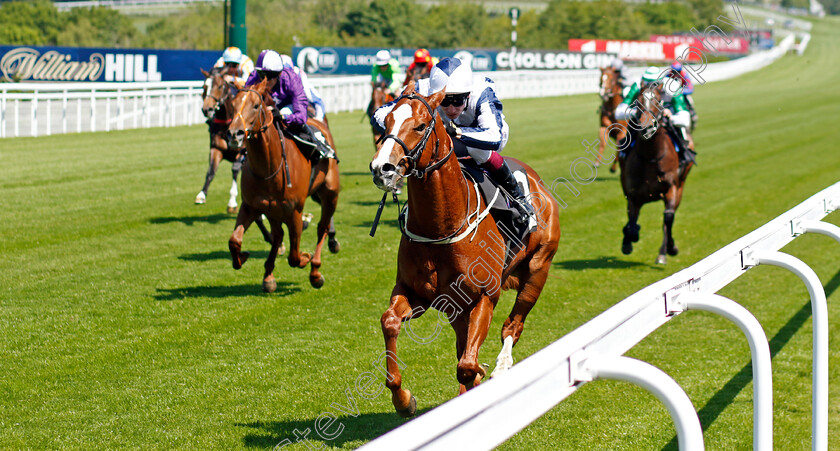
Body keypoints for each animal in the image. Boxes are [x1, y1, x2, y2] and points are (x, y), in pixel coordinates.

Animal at [226, 78, 342, 292]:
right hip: (273, 210)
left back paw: (315, 271)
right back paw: (268, 276)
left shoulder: (294, 211)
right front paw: (242, 258)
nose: (234, 135)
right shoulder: (251, 206)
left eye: (256, 105)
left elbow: (294, 256)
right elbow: (234, 240)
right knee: (278, 235)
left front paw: (306, 258)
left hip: (330, 194)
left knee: (321, 228)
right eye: (233, 104)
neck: (269, 168)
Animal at [370, 80, 560, 416]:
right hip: (455, 307)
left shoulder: (485, 296)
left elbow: (467, 366)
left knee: (512, 326)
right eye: (387, 121)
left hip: (538, 271)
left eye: (421, 126)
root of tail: (539, 184)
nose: (383, 168)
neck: (441, 226)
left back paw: (502, 366)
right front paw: (403, 400)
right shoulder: (416, 294)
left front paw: (483, 377)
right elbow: (390, 322)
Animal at [620, 84, 692, 264]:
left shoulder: (671, 188)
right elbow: (632, 224)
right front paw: (629, 240)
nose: (646, 126)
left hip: (681, 185)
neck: (650, 157)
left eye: (658, 101)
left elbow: (668, 218)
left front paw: (669, 249)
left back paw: (664, 251)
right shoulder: (633, 194)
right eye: (638, 100)